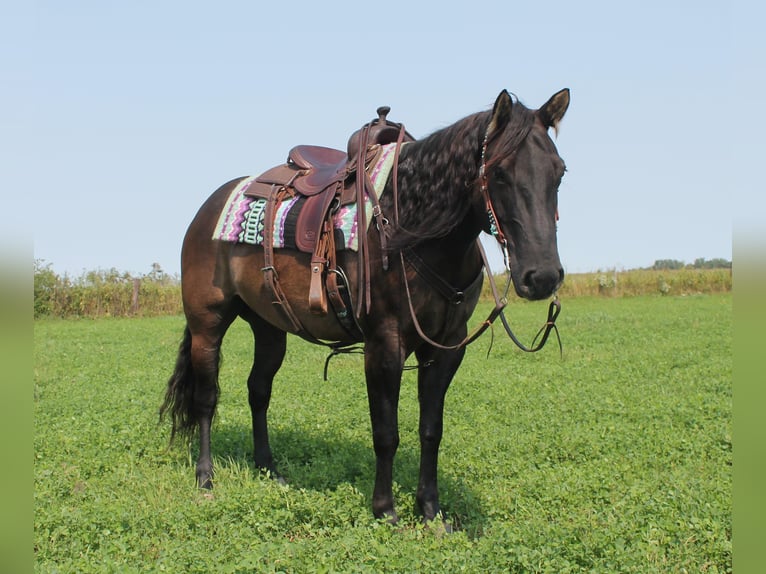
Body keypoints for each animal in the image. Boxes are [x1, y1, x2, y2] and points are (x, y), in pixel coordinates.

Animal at [160, 89, 568, 528]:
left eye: (559, 172)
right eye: (500, 172)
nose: (542, 276)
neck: (414, 229)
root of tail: (210, 207)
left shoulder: (446, 347)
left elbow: (431, 430)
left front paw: (430, 509)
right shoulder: (384, 344)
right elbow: (386, 432)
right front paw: (385, 509)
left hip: (269, 326)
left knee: (259, 390)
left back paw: (269, 468)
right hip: (207, 324)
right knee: (206, 398)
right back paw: (205, 477)